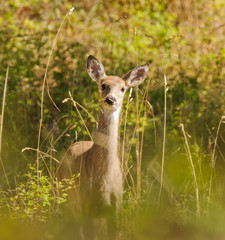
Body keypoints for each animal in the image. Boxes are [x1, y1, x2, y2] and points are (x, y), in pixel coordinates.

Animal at [57, 55, 149, 238]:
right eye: (103, 85)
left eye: (123, 88)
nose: (110, 99)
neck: (105, 176)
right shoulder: (86, 203)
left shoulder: (117, 203)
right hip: (67, 198)